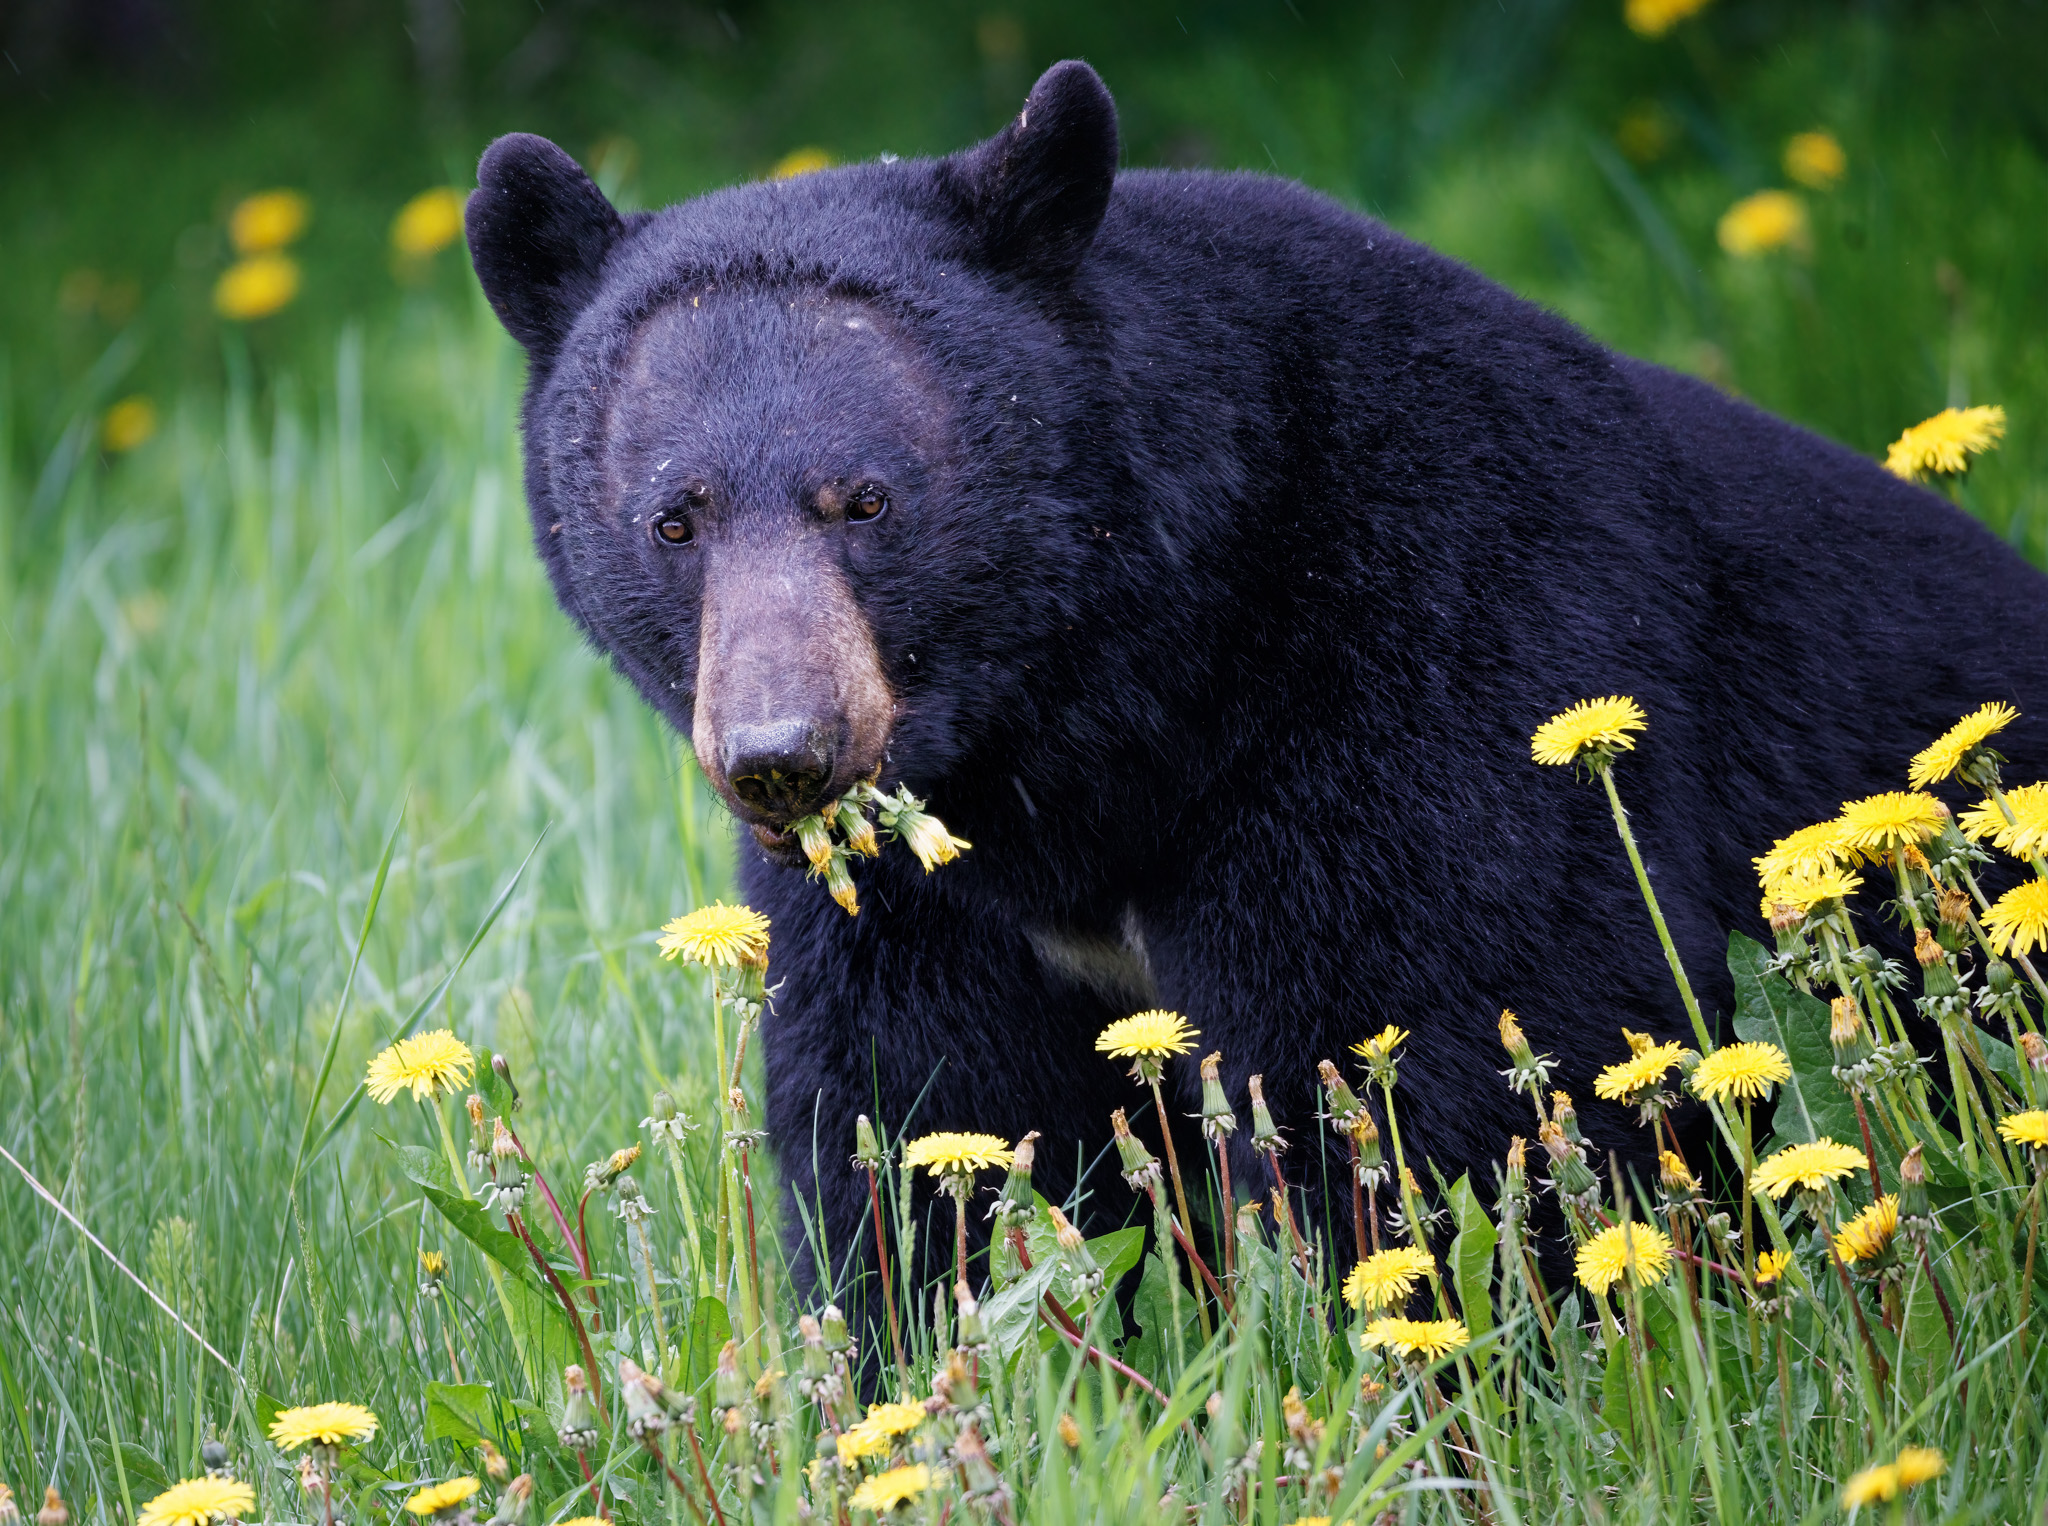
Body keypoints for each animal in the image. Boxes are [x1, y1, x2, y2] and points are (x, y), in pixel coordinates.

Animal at [468, 56, 2048, 1319]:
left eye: (864, 501)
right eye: (673, 520)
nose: (783, 751)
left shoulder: (1432, 645)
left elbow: (1432, 1042)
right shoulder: (923, 889)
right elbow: (921, 1113)